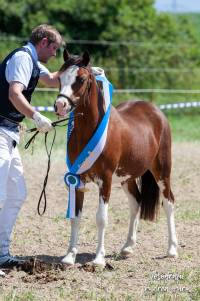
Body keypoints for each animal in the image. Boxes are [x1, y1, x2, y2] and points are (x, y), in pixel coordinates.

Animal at [55, 50, 178, 266]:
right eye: (60, 77)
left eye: (81, 79)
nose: (60, 105)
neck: (89, 132)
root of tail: (156, 112)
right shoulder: (77, 180)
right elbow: (76, 217)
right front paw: (70, 257)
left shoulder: (105, 180)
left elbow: (101, 218)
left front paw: (98, 259)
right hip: (128, 177)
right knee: (136, 203)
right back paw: (127, 247)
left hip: (162, 171)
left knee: (168, 202)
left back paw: (172, 249)